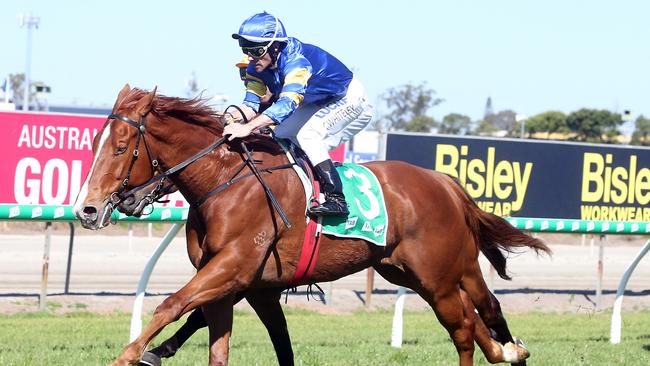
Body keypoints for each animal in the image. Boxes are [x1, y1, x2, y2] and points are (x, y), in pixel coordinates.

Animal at [74, 84, 548, 364]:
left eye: (120, 147)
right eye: (95, 142)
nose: (88, 210)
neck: (225, 181)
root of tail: (444, 181)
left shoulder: (233, 267)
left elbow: (171, 305)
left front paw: (131, 354)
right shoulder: (249, 284)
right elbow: (236, 338)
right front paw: (158, 350)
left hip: (440, 273)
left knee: (467, 325)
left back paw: (504, 347)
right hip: (417, 271)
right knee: (479, 314)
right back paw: (508, 349)